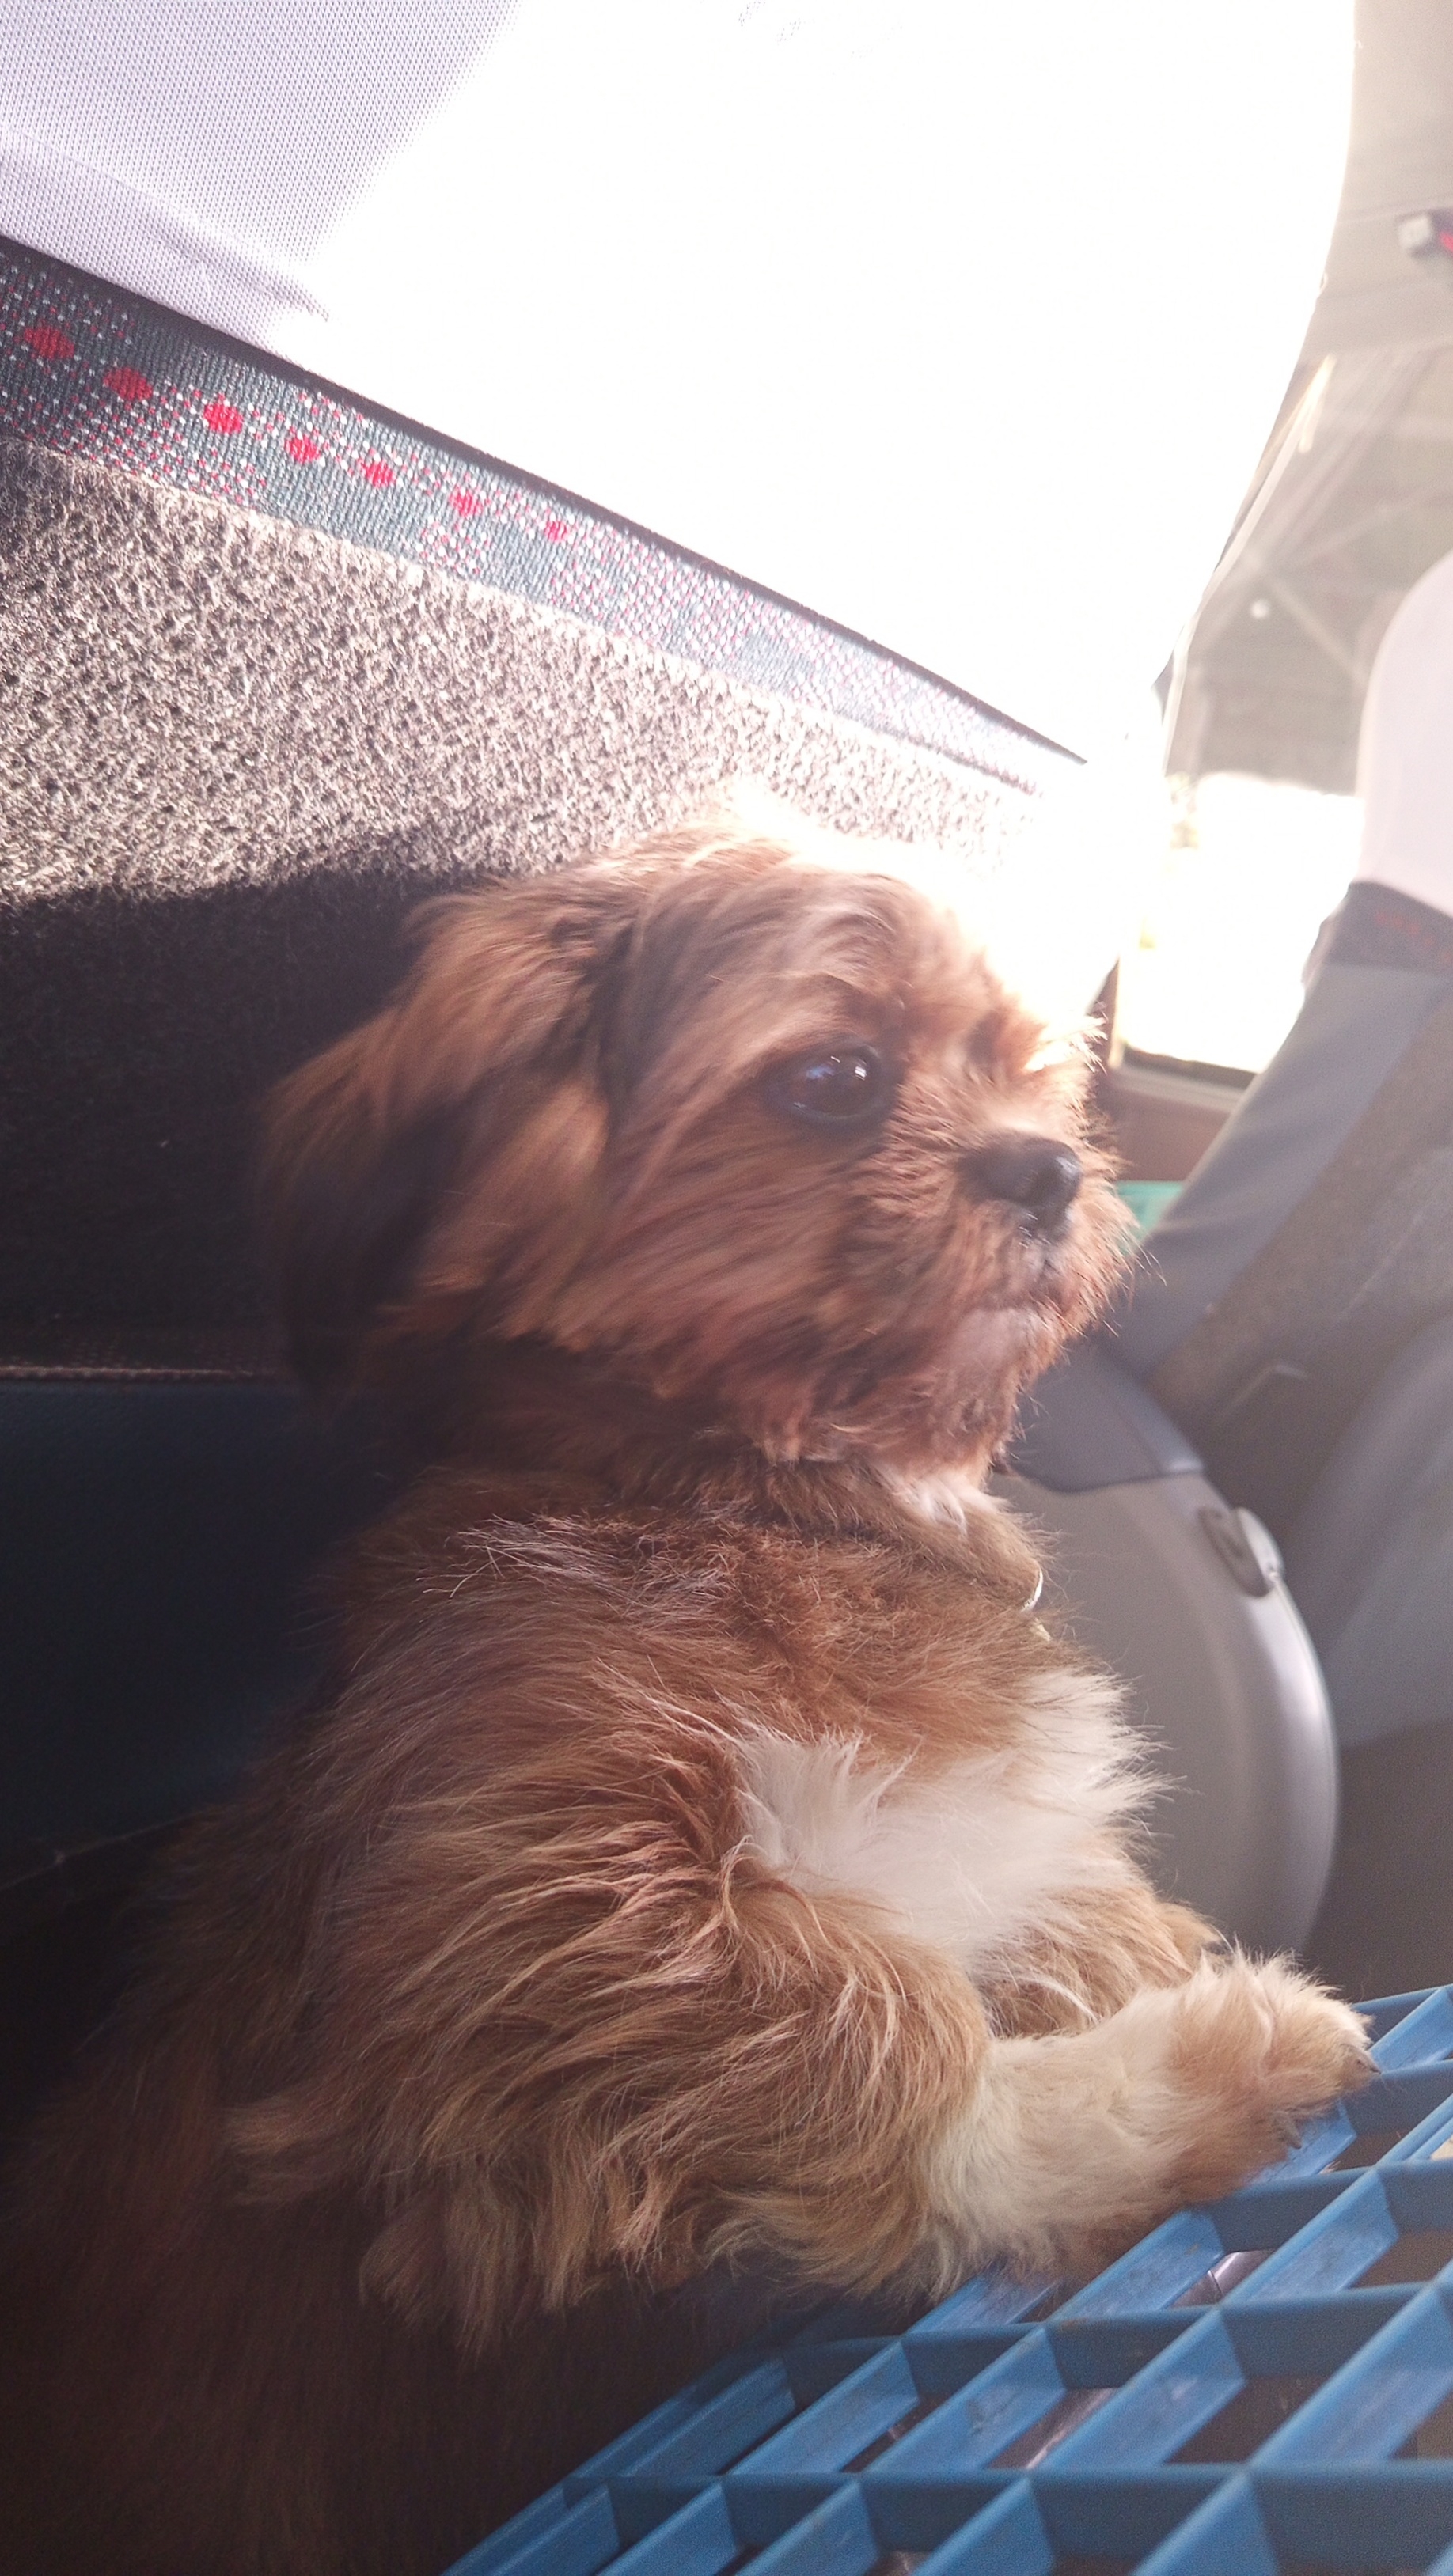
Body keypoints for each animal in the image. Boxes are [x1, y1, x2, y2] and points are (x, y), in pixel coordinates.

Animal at [0, 812, 1369, 2576]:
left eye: (1034, 1074)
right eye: (837, 1077)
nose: (1053, 1168)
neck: (748, 1492)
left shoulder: (1025, 1854)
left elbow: (1083, 1924)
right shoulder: (523, 1900)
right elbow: (881, 2014)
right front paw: (1155, 2090)